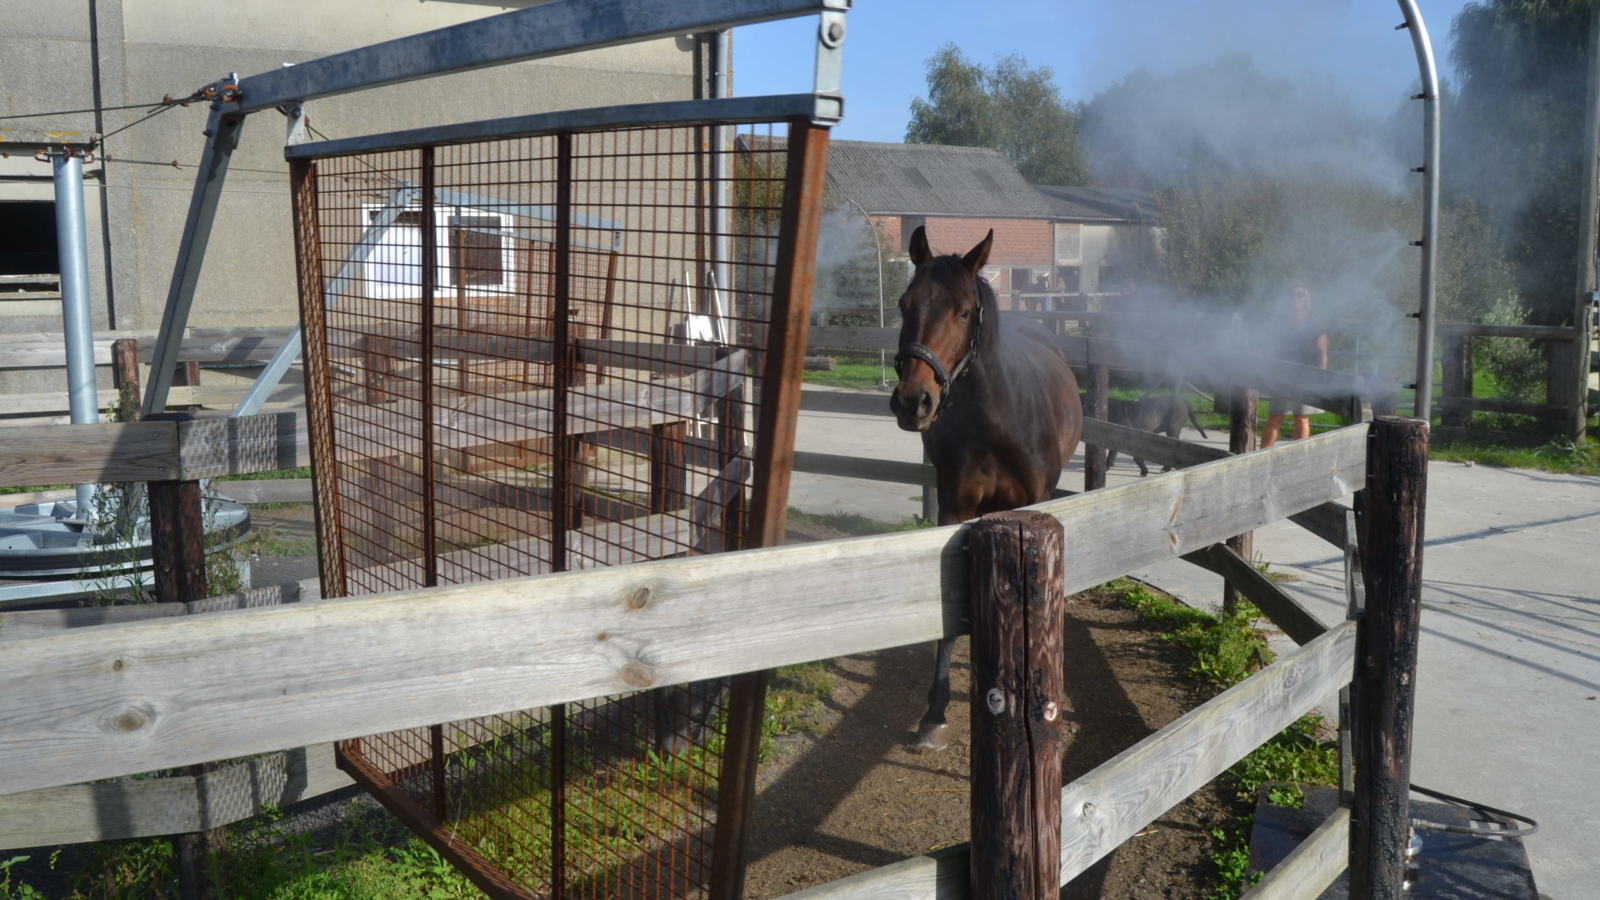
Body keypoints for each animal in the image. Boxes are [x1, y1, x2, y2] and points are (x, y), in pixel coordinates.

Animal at [889, 227, 1088, 746]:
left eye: (963, 311)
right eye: (903, 303)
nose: (912, 401)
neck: (997, 416)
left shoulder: (1032, 507)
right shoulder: (954, 510)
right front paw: (935, 711)